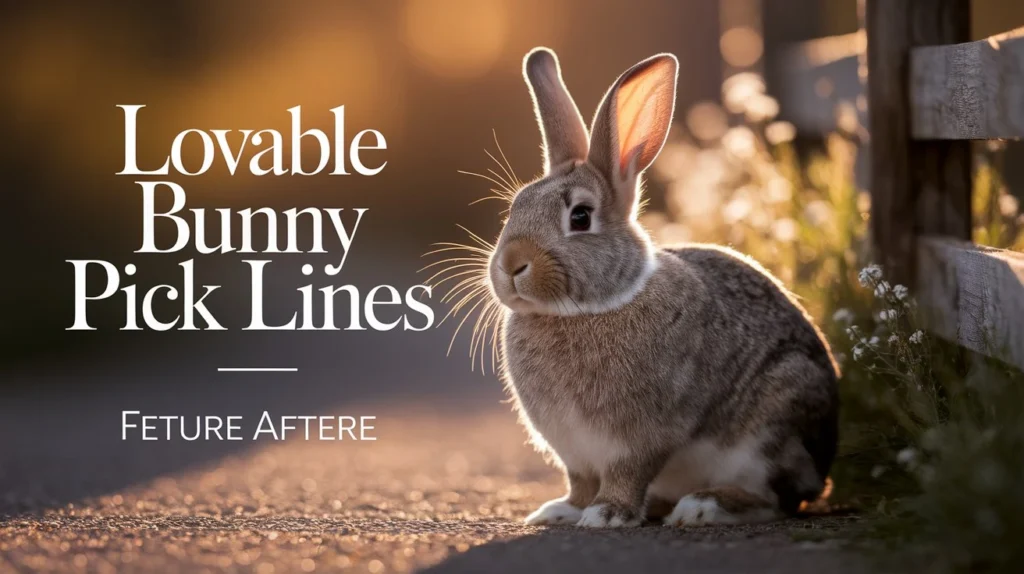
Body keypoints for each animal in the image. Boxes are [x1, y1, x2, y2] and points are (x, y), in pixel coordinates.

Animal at [484, 47, 839, 528]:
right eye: (515, 207)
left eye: (580, 216)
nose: (510, 265)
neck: (587, 309)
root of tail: (823, 470)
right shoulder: (573, 451)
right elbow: (580, 482)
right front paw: (561, 511)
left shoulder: (641, 438)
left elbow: (626, 473)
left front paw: (606, 515)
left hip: (772, 431)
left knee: (774, 500)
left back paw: (702, 507)